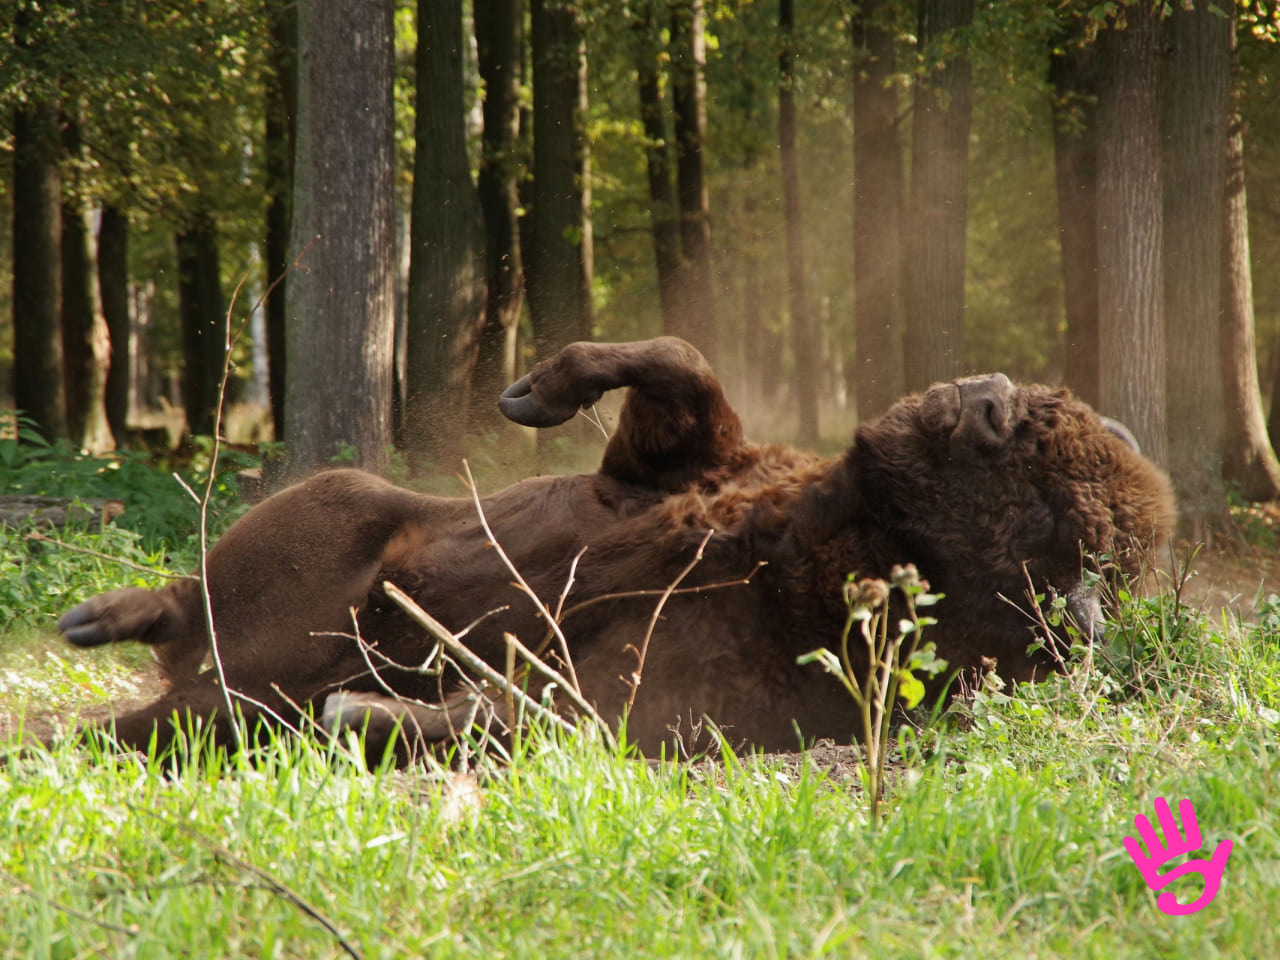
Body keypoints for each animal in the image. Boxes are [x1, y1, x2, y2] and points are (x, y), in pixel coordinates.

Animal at [55, 337, 1172, 757]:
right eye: (1049, 429)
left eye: (1051, 522)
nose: (987, 398)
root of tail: (199, 671)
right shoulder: (670, 466)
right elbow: (679, 365)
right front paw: (531, 394)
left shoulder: (644, 700)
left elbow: (522, 711)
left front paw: (362, 709)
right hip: (340, 507)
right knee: (193, 592)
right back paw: (95, 616)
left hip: (229, 685)